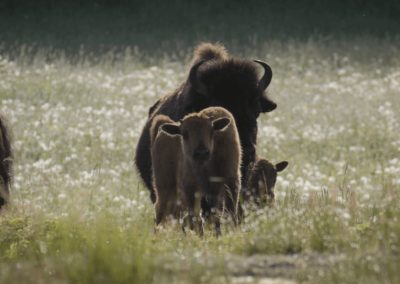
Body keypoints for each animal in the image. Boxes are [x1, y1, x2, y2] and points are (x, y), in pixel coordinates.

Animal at [152, 106, 242, 235]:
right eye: (184, 134)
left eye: (211, 131)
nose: (201, 153)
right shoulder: (191, 189)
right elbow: (197, 218)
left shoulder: (230, 181)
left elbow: (227, 213)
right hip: (164, 188)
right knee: (161, 210)